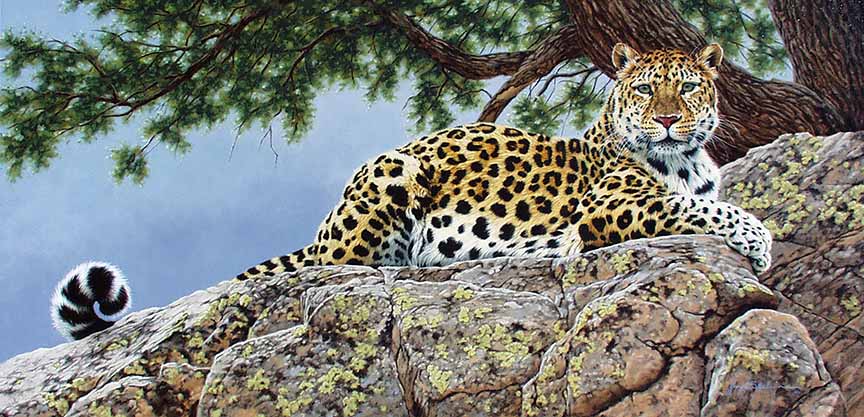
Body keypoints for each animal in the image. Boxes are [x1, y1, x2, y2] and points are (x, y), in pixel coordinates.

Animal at [236, 43, 772, 281]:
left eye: (689, 86)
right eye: (643, 89)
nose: (666, 119)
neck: (687, 160)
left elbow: (705, 203)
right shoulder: (611, 204)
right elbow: (698, 208)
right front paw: (760, 242)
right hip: (389, 179)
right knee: (336, 265)